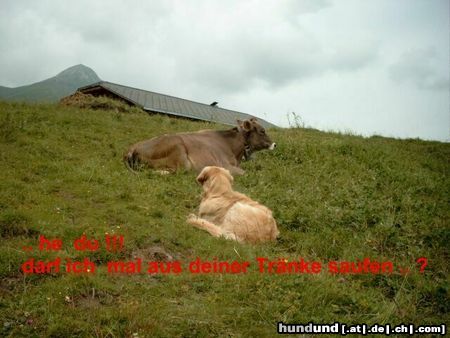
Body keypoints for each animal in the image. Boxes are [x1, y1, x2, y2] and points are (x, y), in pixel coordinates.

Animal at [125, 118, 276, 176]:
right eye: (262, 131)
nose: (275, 144)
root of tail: (132, 148)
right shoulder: (226, 166)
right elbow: (247, 173)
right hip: (179, 153)